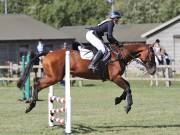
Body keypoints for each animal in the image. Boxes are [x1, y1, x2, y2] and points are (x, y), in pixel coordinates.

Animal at [16, 42, 156, 114]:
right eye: (152, 55)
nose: (153, 70)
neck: (119, 55)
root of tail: (48, 53)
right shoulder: (115, 77)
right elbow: (127, 87)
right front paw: (128, 107)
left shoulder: (117, 77)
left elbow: (127, 87)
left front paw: (118, 100)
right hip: (54, 77)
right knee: (37, 84)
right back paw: (30, 105)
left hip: (52, 76)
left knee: (36, 81)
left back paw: (30, 101)